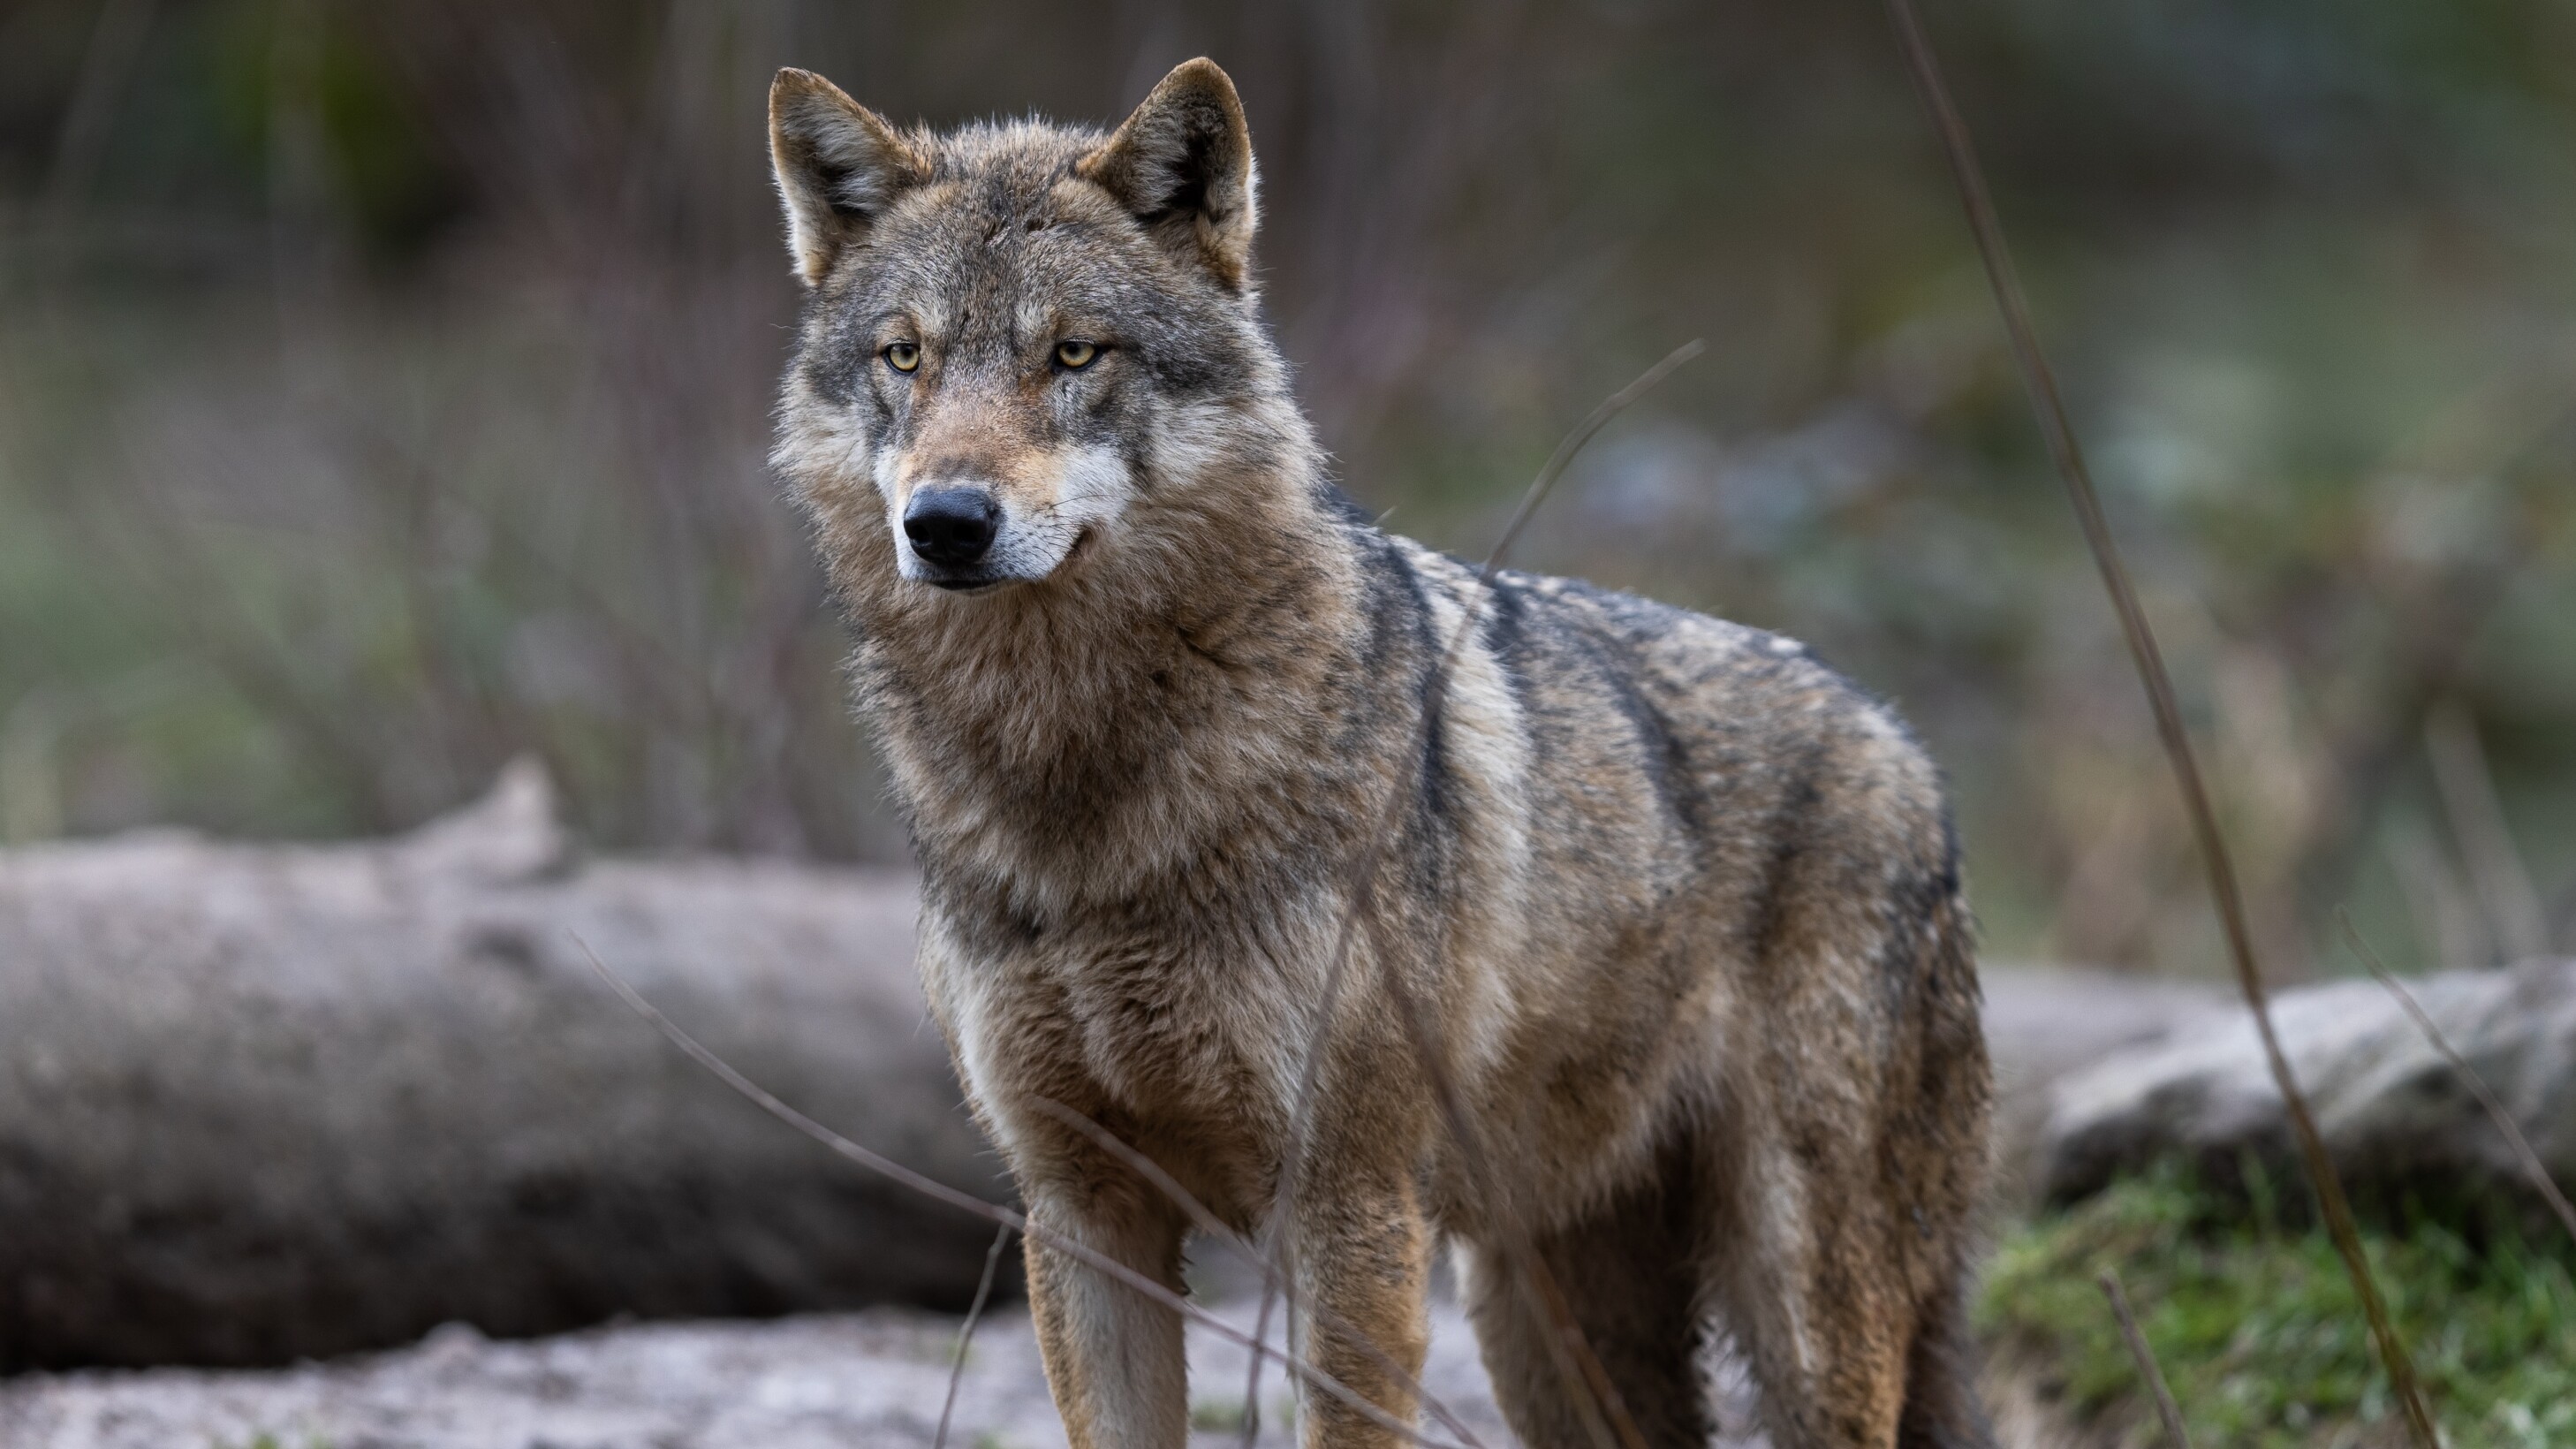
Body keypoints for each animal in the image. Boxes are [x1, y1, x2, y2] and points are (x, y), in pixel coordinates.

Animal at [765, 57, 1996, 1449]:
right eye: (904, 357)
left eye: (1072, 352)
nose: (946, 522)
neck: (1085, 786)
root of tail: (1905, 745)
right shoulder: (1079, 1206)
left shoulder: (1349, 1207)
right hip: (1540, 1322)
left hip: (1795, 1315)